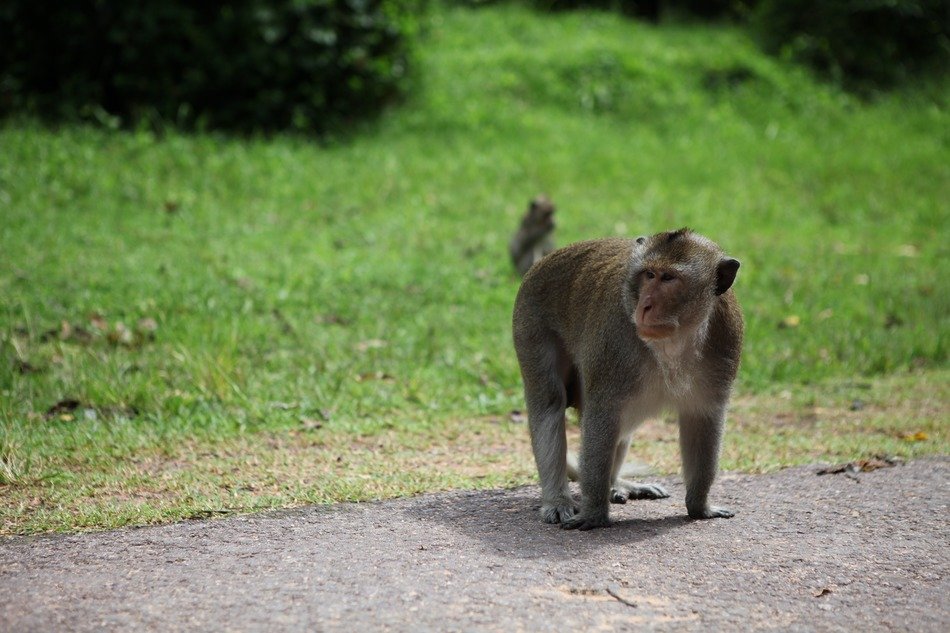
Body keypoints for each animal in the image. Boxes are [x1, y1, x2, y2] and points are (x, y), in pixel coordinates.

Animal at [512, 228, 742, 530]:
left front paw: (699, 506)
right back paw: (558, 499)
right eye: (649, 275)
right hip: (530, 322)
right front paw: (594, 513)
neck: (675, 340)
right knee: (550, 402)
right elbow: (602, 415)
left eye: (669, 278)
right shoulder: (614, 341)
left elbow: (704, 419)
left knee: (625, 421)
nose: (645, 306)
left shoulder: (726, 341)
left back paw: (616, 483)